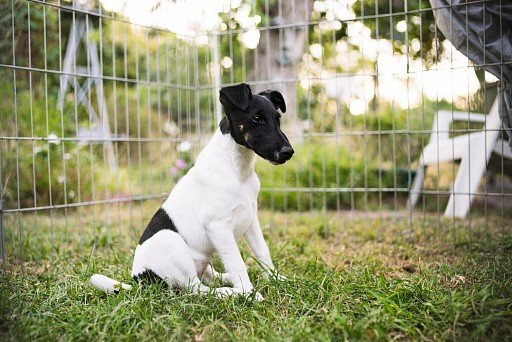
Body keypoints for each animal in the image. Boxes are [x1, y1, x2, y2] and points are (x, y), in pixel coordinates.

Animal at [90, 83, 294, 302]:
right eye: (257, 118)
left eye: (278, 119)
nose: (288, 152)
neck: (236, 169)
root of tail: (140, 279)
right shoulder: (218, 226)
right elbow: (236, 262)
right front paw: (249, 293)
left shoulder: (250, 218)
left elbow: (262, 251)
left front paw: (275, 278)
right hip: (170, 240)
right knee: (196, 288)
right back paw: (230, 292)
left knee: (208, 276)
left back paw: (227, 280)